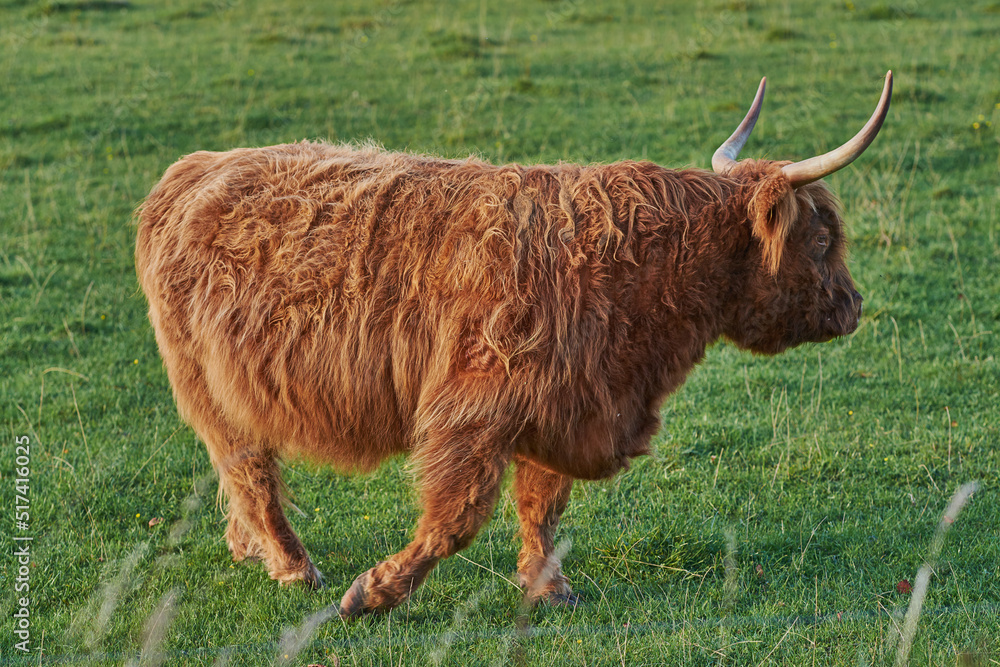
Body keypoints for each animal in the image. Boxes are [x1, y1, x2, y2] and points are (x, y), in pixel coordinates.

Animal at [133, 72, 892, 616]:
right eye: (822, 239)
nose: (853, 307)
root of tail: (196, 168)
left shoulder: (565, 404)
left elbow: (543, 506)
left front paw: (548, 588)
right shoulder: (474, 411)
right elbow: (457, 517)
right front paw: (372, 593)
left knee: (240, 471)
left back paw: (251, 550)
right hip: (206, 382)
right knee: (250, 467)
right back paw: (294, 565)